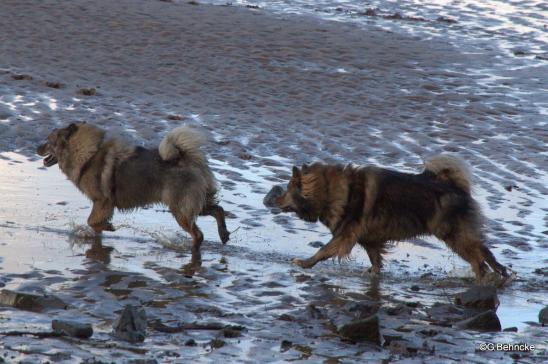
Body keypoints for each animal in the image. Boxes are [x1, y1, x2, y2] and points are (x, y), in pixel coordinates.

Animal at [36, 121, 229, 256]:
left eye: (49, 141)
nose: (36, 147)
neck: (88, 154)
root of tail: (188, 160)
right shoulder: (102, 205)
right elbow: (94, 225)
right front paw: (99, 236)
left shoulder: (102, 201)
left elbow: (91, 221)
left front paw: (109, 227)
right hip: (193, 205)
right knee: (218, 210)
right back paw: (223, 235)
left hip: (180, 210)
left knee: (199, 234)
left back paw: (194, 250)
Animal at [276, 155, 508, 280]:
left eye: (287, 189)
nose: (274, 200)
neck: (330, 191)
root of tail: (457, 188)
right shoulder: (369, 240)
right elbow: (375, 259)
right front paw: (373, 274)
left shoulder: (345, 236)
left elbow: (322, 251)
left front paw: (304, 263)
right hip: (460, 236)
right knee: (484, 253)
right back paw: (500, 273)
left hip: (454, 236)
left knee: (479, 259)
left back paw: (487, 277)